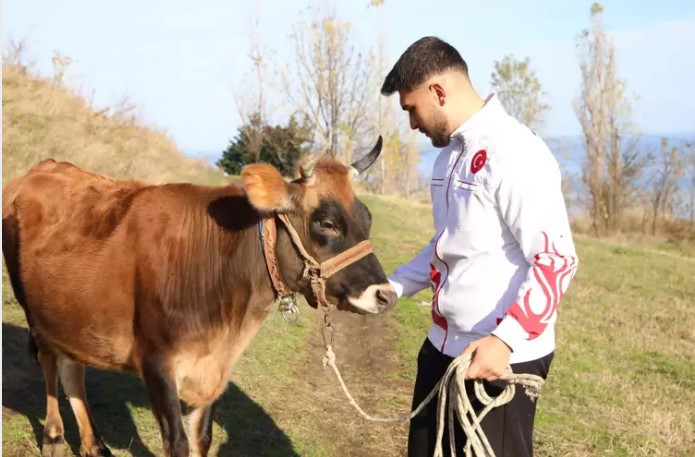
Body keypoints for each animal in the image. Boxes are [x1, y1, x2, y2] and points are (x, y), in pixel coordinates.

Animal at [2, 137, 396, 456]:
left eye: (367, 219)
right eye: (327, 223)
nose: (386, 295)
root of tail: (46, 165)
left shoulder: (212, 372)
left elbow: (201, 439)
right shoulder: (156, 361)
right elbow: (176, 442)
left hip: (68, 311)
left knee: (72, 367)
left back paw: (93, 445)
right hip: (32, 307)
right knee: (50, 361)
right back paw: (54, 436)